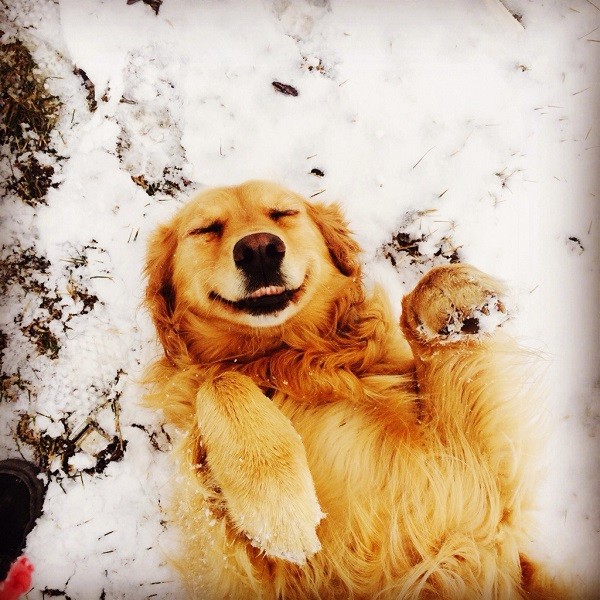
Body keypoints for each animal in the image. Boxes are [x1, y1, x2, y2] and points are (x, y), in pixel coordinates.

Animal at [143, 180, 560, 596]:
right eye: (207, 229)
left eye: (284, 213)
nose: (259, 248)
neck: (281, 358)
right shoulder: (240, 559)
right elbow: (219, 382)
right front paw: (280, 509)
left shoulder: (472, 488)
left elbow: (430, 282)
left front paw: (456, 300)